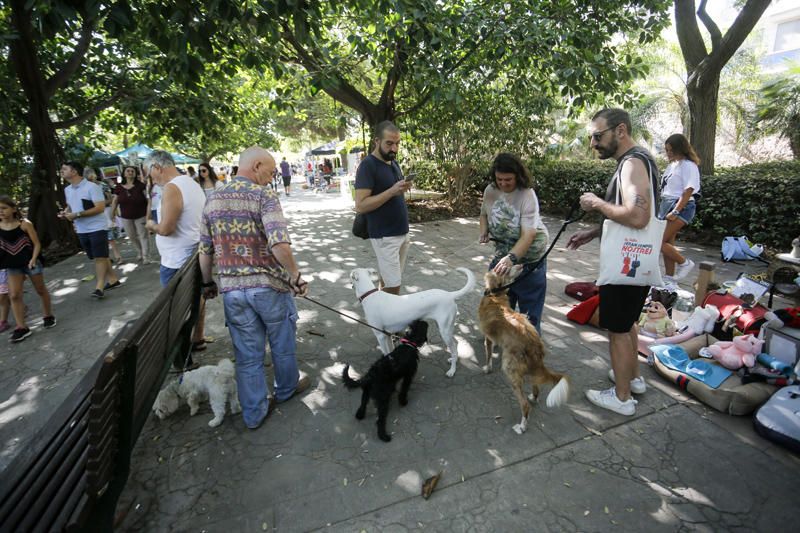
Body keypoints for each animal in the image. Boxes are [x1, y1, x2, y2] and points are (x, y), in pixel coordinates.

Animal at [476, 266, 568, 432]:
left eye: (504, 270)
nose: (522, 266)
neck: (496, 296)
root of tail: (534, 345)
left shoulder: (488, 338)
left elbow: (488, 355)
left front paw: (487, 369)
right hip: (530, 369)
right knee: (536, 387)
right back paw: (533, 398)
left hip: (510, 370)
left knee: (524, 405)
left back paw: (522, 426)